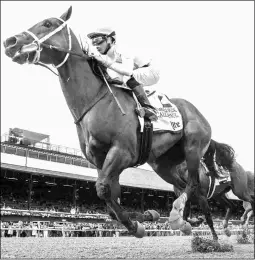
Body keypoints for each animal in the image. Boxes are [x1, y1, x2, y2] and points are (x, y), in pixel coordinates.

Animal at [2, 6, 235, 238]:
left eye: (48, 23)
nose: (10, 42)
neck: (95, 100)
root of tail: (200, 115)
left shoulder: (123, 152)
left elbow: (103, 188)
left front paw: (137, 224)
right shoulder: (98, 158)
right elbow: (109, 195)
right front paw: (142, 220)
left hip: (193, 148)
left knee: (193, 184)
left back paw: (183, 218)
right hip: (163, 163)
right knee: (186, 188)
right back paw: (190, 222)